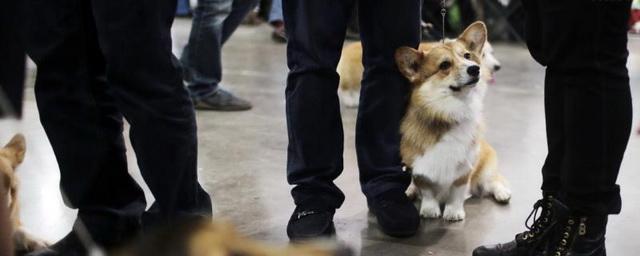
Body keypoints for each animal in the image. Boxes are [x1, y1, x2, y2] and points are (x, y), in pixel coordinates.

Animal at [396, 22, 510, 222]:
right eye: (444, 65)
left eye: (467, 56)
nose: (475, 69)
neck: (449, 111)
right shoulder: (420, 166)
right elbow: (426, 190)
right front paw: (429, 210)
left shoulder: (464, 168)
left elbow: (456, 192)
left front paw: (453, 212)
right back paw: (410, 190)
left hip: (485, 169)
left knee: (493, 180)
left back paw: (502, 193)